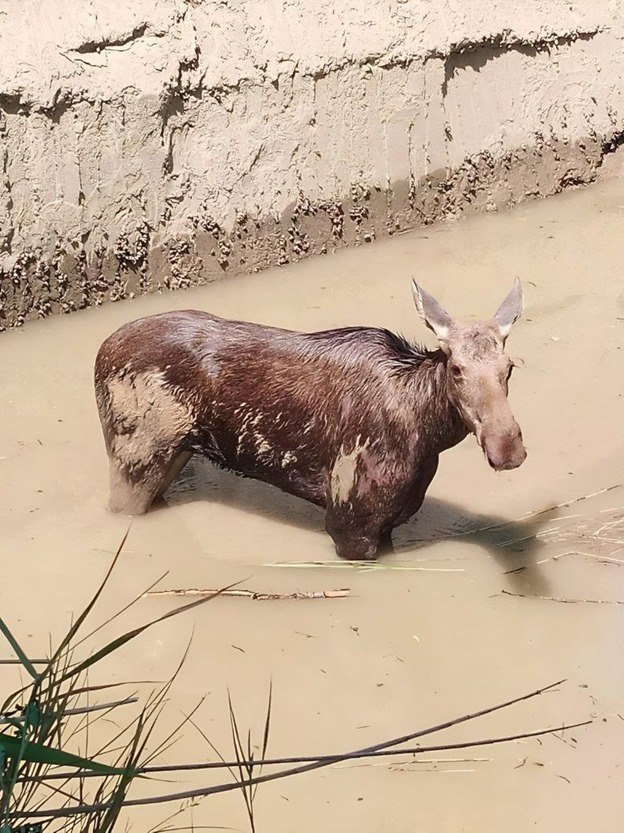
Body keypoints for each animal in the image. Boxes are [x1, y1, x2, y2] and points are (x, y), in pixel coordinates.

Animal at [95, 280, 528, 560]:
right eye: (456, 369)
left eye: (509, 367)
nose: (507, 447)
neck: (426, 433)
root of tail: (101, 352)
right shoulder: (349, 521)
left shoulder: (388, 523)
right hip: (133, 458)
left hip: (174, 456)